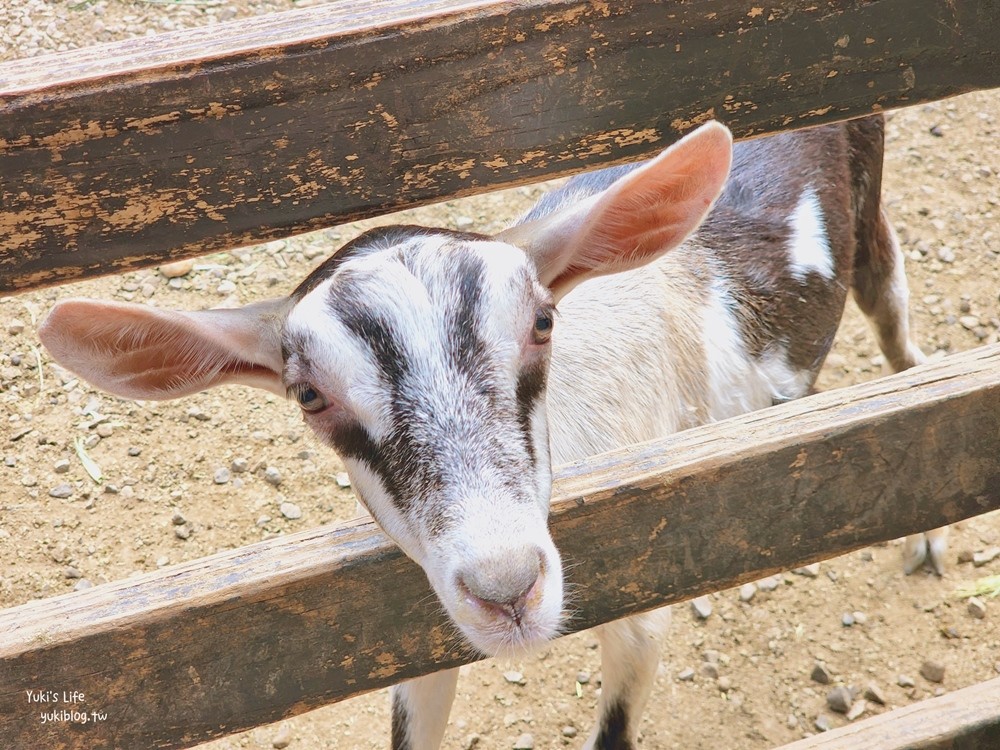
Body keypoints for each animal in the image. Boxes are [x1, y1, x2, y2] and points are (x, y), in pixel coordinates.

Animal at [41, 117, 944, 750]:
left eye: (542, 323)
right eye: (308, 395)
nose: (508, 591)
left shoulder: (642, 600)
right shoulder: (424, 630)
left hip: (871, 219)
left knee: (899, 326)